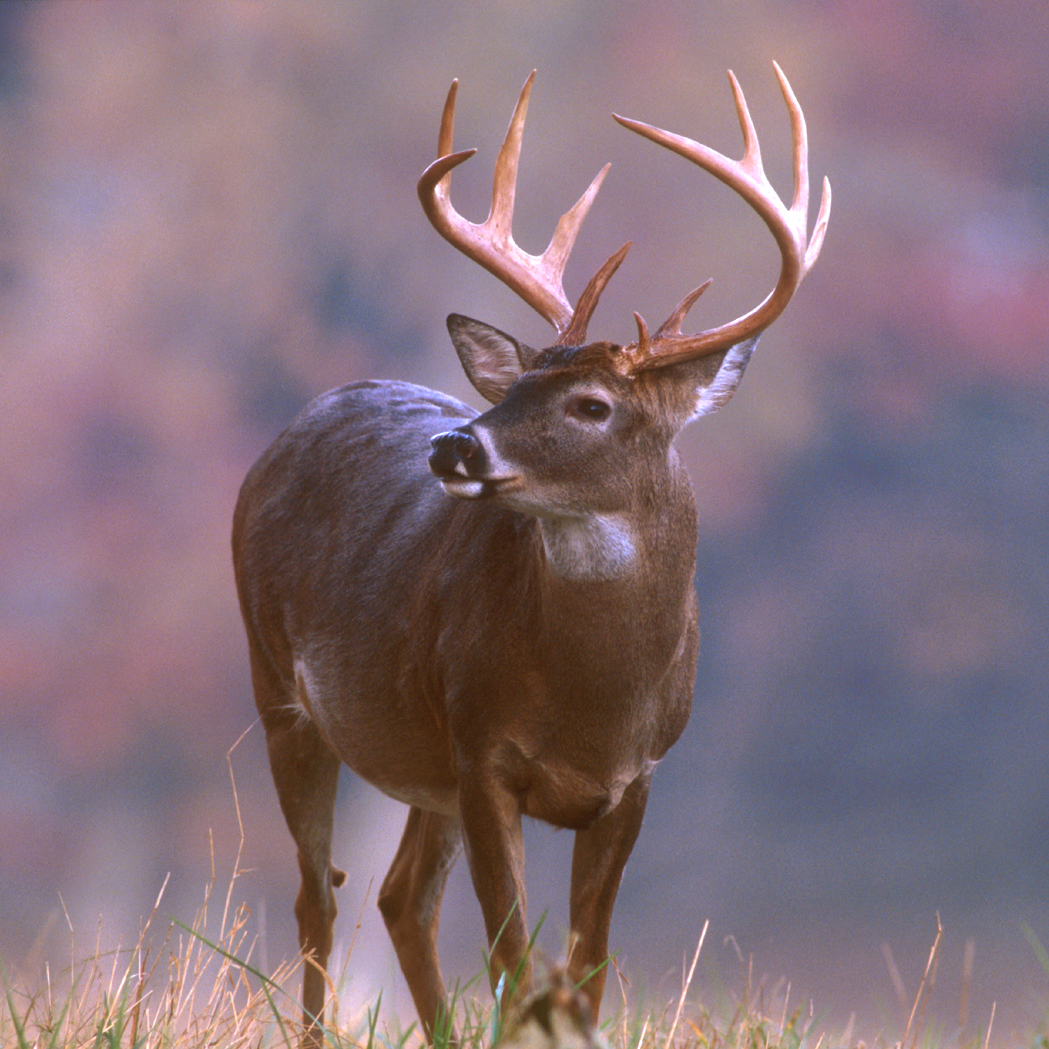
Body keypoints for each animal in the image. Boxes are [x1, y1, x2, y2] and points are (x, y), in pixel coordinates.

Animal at [233, 63, 830, 1040]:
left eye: (592, 404)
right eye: (513, 388)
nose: (454, 447)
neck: (591, 697)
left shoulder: (635, 779)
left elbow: (584, 967)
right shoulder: (483, 754)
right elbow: (514, 957)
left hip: (418, 760)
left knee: (400, 897)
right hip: (280, 683)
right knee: (318, 896)